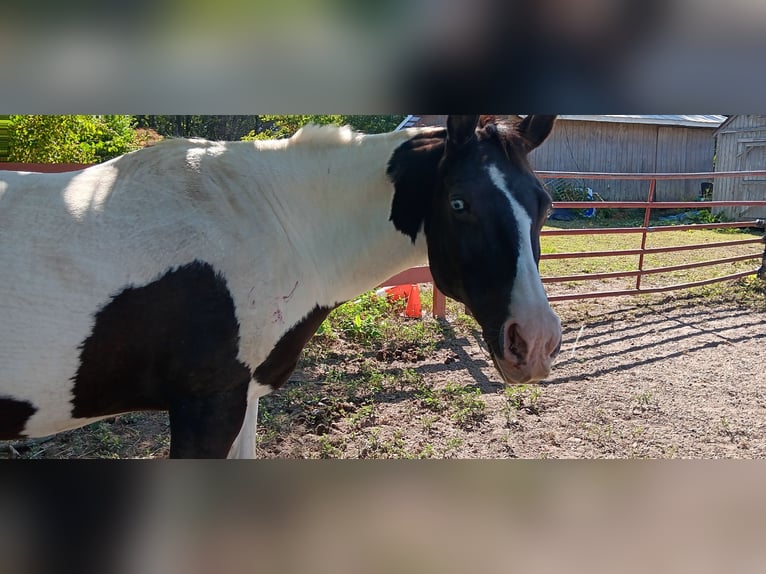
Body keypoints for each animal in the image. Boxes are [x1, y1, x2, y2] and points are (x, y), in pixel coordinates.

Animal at [0, 115, 562, 458]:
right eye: (459, 203)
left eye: (545, 204)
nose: (534, 342)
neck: (267, 224)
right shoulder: (206, 408)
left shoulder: (242, 398)